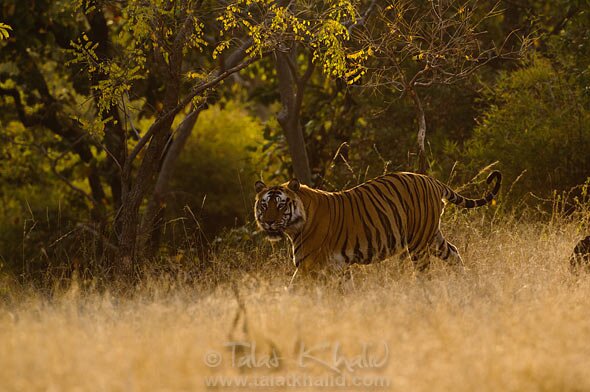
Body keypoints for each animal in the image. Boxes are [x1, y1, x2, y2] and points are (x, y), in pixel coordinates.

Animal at [256, 170, 504, 274]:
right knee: (453, 252)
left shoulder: (309, 266)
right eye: (263, 206)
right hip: (433, 237)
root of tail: (432, 180)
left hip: (418, 243)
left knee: (424, 273)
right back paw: (465, 281)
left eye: (280, 205)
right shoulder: (338, 267)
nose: (268, 222)